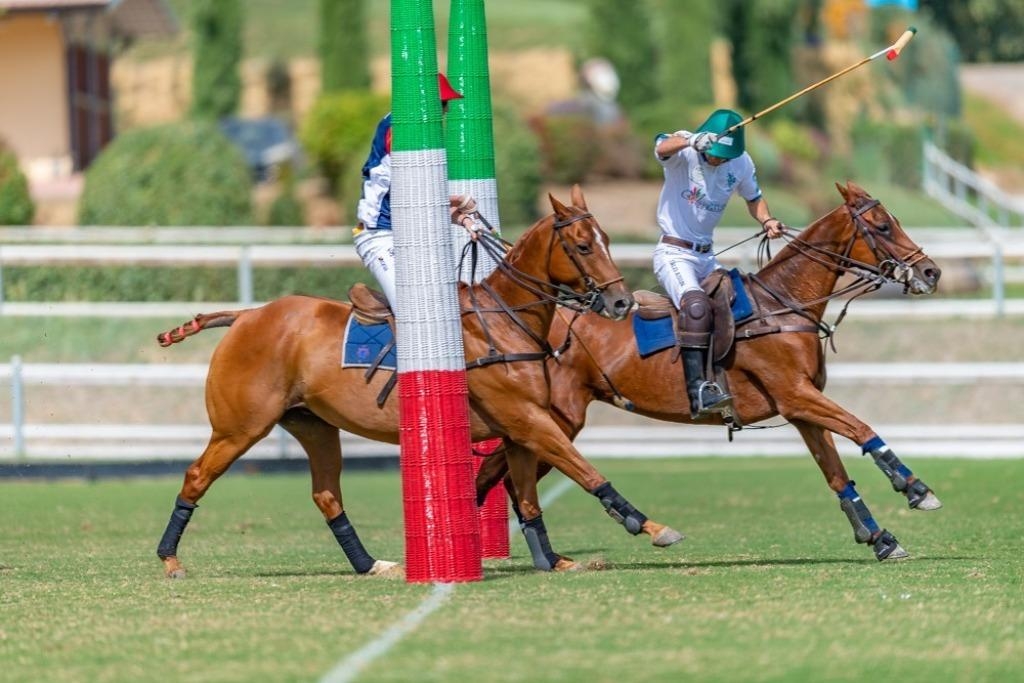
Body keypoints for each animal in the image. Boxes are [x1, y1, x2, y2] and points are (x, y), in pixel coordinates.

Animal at [151, 185, 679, 577]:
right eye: (584, 245)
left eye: (607, 238)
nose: (621, 304)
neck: (506, 320)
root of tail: (245, 316)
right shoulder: (526, 421)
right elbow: (586, 471)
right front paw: (649, 526)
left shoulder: (518, 433)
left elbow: (529, 498)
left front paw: (550, 558)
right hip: (240, 426)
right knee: (196, 477)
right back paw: (170, 559)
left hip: (314, 426)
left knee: (326, 494)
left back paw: (370, 564)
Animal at [479, 181, 942, 561]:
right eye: (882, 227)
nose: (931, 271)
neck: (783, 305)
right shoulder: (796, 394)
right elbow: (862, 429)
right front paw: (917, 490)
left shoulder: (800, 408)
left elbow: (836, 474)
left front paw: (880, 538)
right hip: (553, 419)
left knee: (507, 476)